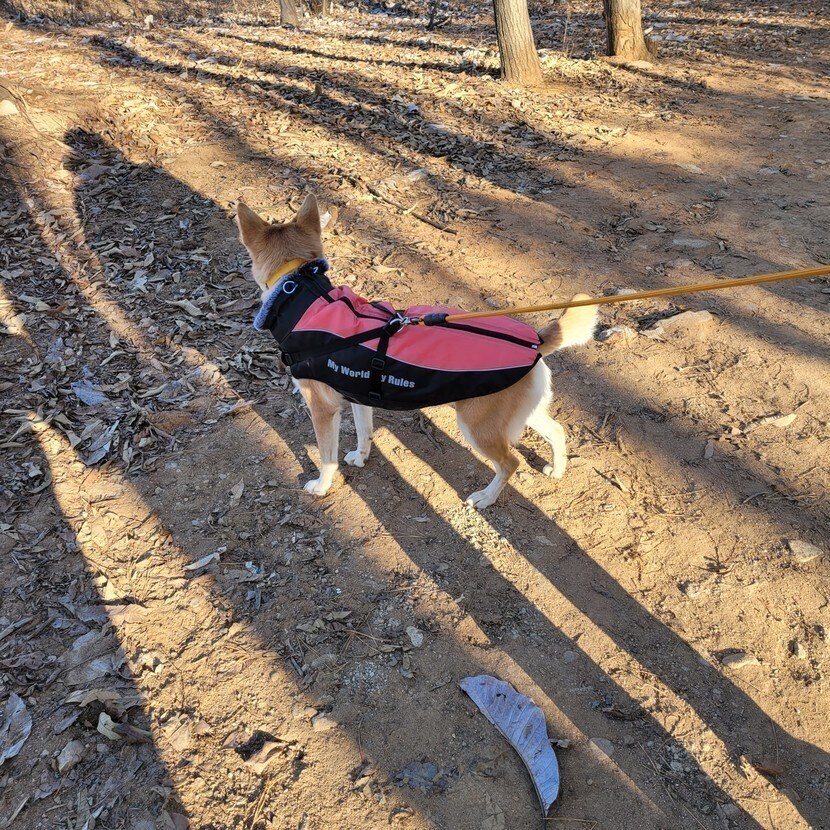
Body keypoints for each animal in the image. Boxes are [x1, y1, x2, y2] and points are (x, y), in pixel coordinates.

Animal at [237, 194, 597, 508]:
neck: (303, 292)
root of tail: (535, 338)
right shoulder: (358, 397)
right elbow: (365, 433)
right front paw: (361, 457)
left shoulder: (322, 409)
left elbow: (327, 457)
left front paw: (322, 485)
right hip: (521, 414)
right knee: (557, 432)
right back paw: (557, 469)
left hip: (478, 428)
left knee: (511, 462)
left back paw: (486, 497)